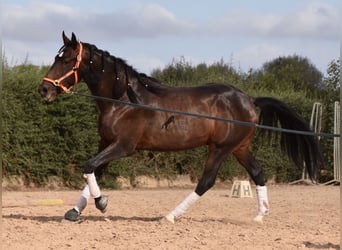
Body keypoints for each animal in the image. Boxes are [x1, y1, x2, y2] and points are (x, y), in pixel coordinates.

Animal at [38, 32, 324, 224]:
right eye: (56, 57)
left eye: (67, 60)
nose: (44, 90)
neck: (123, 100)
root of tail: (250, 100)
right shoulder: (105, 143)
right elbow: (93, 172)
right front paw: (74, 212)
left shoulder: (124, 146)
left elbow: (89, 167)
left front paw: (102, 203)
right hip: (239, 147)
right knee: (257, 172)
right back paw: (260, 215)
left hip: (220, 148)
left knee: (206, 181)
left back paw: (170, 216)